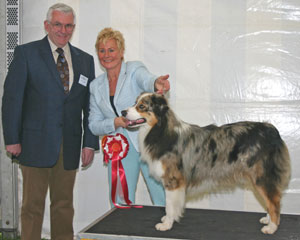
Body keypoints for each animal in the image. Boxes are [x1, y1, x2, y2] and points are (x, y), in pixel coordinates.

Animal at [121, 92, 290, 234]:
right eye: (135, 102)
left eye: (142, 106)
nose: (122, 112)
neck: (160, 130)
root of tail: (272, 130)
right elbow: (173, 205)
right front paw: (170, 219)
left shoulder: (173, 180)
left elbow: (169, 205)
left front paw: (166, 224)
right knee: (271, 199)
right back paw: (268, 220)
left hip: (261, 175)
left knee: (274, 201)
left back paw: (272, 227)